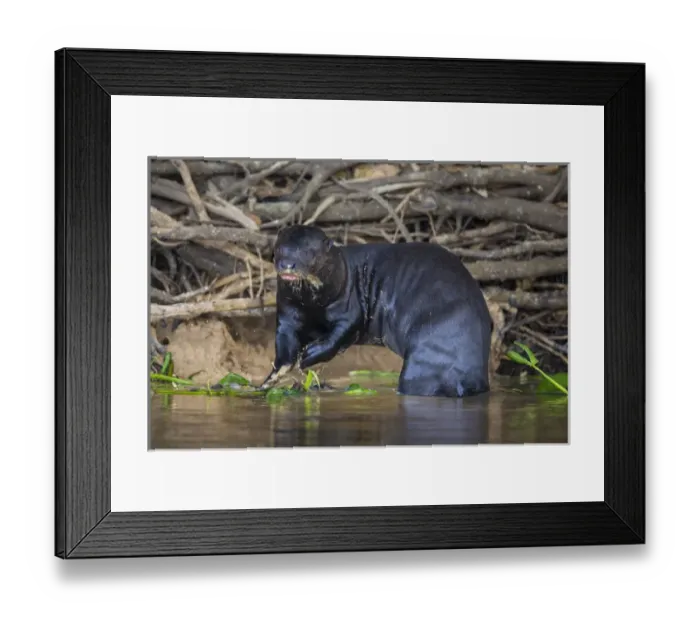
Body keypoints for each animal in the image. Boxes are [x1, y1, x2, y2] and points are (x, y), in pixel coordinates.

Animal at [261, 225, 492, 398]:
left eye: (308, 252)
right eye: (279, 249)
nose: (287, 264)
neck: (313, 305)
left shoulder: (349, 305)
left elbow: (342, 333)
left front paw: (310, 355)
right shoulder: (287, 312)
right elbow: (284, 341)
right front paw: (272, 377)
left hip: (431, 355)